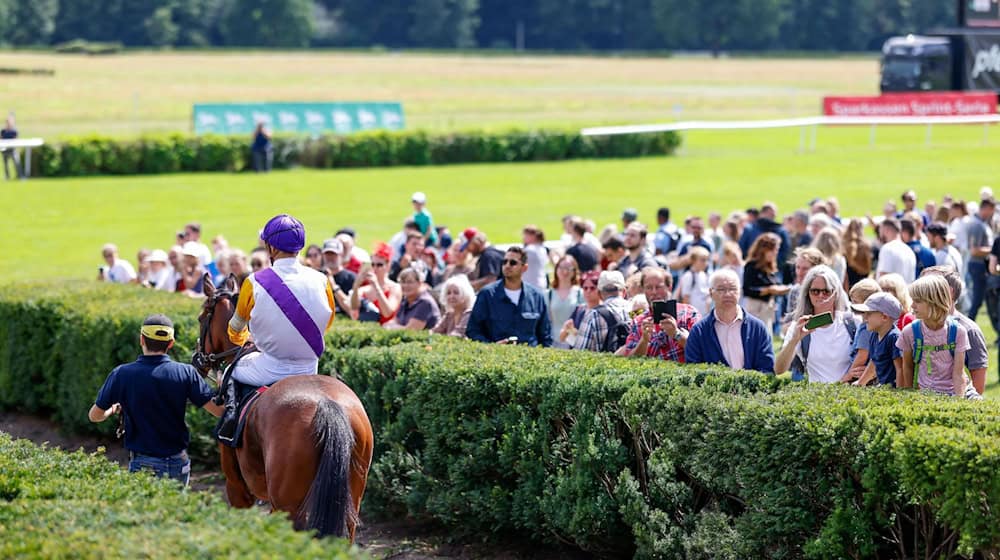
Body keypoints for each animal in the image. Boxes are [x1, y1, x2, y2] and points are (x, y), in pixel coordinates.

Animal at [193, 274, 374, 540]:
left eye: (201, 317)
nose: (197, 359)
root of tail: (327, 404)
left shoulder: (237, 488)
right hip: (351, 500)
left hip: (287, 504)